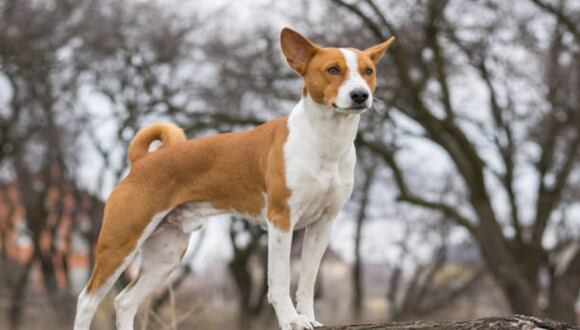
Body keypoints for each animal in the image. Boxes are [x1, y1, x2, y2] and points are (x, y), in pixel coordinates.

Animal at [73, 28, 394, 330]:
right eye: (333, 70)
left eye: (368, 71)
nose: (360, 95)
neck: (325, 142)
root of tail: (141, 160)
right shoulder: (281, 220)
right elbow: (280, 280)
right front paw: (291, 321)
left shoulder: (323, 224)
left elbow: (307, 282)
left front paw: (309, 319)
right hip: (120, 243)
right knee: (87, 300)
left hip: (166, 253)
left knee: (124, 301)